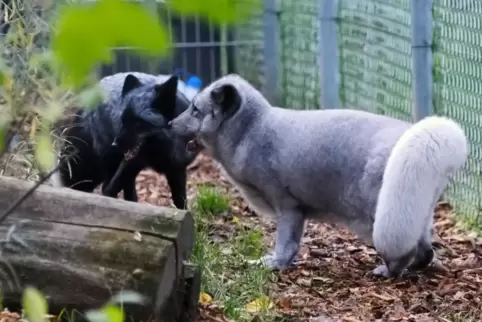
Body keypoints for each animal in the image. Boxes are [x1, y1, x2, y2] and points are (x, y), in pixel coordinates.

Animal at [54, 73, 200, 209]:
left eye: (138, 123)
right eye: (123, 120)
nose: (115, 144)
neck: (165, 150)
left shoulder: (177, 169)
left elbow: (181, 201)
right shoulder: (130, 163)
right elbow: (110, 190)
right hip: (114, 163)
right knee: (110, 187)